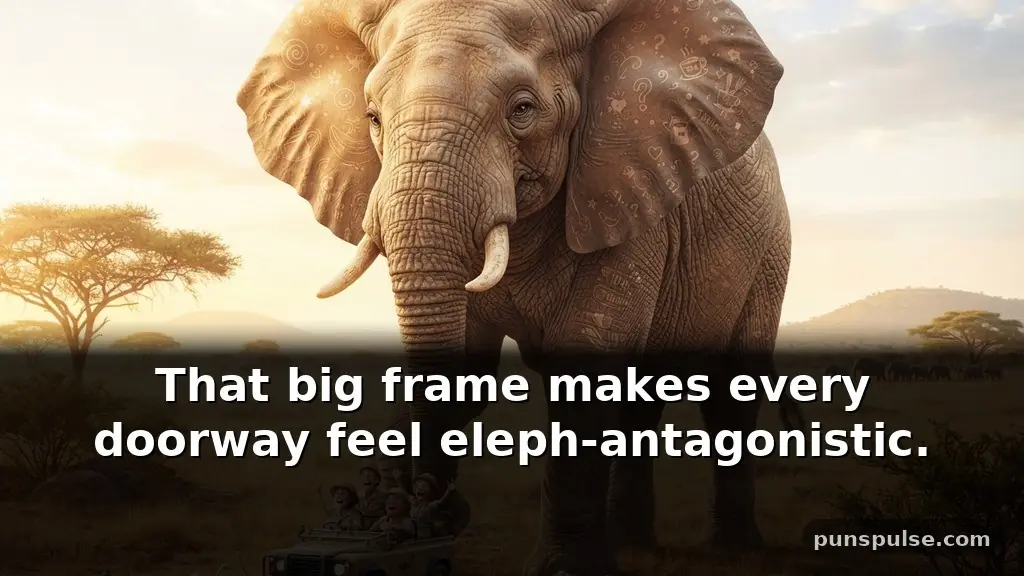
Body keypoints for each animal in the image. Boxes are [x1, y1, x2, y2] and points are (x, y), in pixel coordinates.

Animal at [235, 1, 798, 574]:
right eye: (372, 116)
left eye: (522, 109)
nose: (436, 509)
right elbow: (472, 370)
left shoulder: (627, 191)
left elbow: (585, 369)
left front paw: (565, 570)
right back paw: (632, 546)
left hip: (770, 252)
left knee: (729, 394)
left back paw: (734, 550)